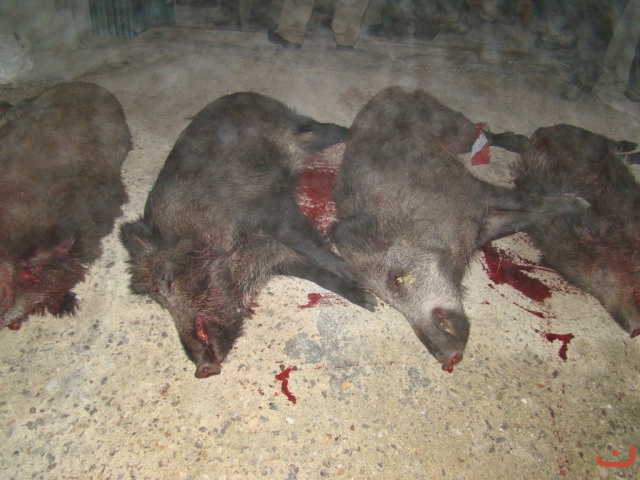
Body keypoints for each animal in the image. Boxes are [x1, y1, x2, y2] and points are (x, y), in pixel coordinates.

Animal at [120, 92, 376, 379]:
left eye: (166, 283)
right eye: (158, 301)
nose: (202, 369)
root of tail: (244, 94)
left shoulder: (269, 207)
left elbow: (307, 243)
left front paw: (359, 280)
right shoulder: (276, 257)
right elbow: (316, 274)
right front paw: (369, 301)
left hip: (292, 125)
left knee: (326, 128)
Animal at [330, 86, 589, 372]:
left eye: (396, 279)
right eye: (384, 299)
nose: (448, 359)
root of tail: (391, 90)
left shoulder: (473, 191)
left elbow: (521, 200)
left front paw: (581, 203)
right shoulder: (484, 225)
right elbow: (523, 219)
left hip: (452, 125)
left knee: (480, 132)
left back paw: (521, 141)